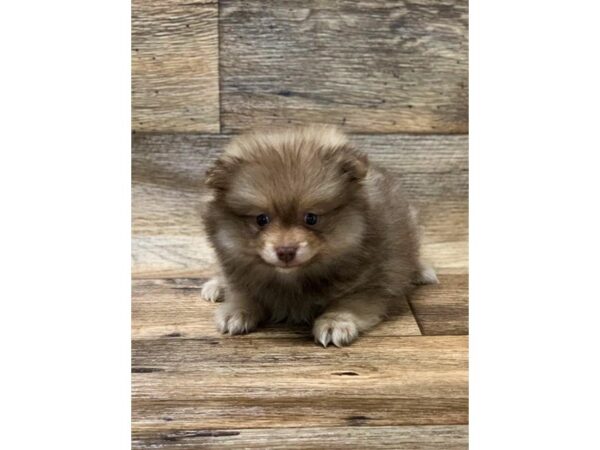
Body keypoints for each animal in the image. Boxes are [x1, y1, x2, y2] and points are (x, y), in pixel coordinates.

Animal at [200, 125, 436, 346]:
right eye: (261, 219)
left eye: (311, 218)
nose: (286, 251)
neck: (292, 279)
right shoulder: (239, 271)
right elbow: (242, 292)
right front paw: (236, 310)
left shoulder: (371, 284)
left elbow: (348, 303)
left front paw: (335, 322)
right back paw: (216, 285)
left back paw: (421, 272)